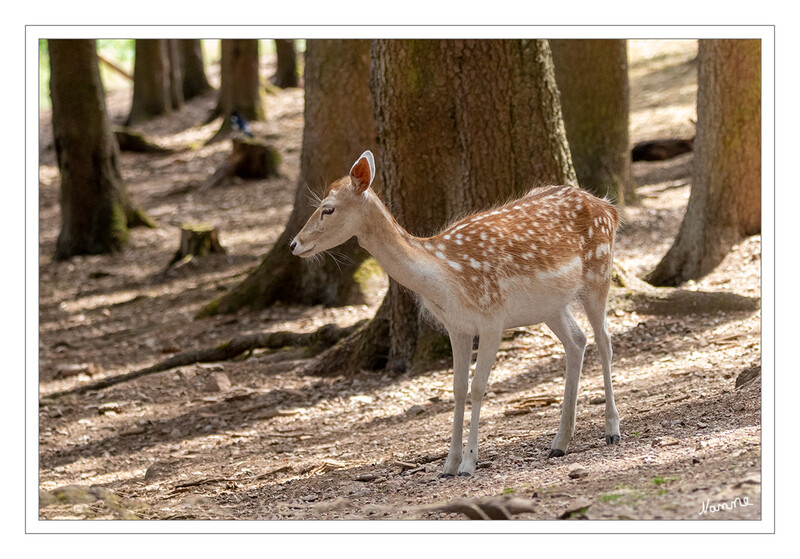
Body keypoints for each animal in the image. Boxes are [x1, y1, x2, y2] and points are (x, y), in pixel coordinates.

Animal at [290, 150, 620, 476]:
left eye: (328, 209)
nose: (295, 244)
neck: (446, 278)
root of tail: (608, 207)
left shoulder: (492, 318)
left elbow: (479, 386)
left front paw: (469, 463)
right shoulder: (456, 326)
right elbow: (458, 388)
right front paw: (449, 464)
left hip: (599, 272)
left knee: (604, 340)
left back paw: (612, 430)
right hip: (551, 305)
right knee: (577, 340)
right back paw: (559, 443)